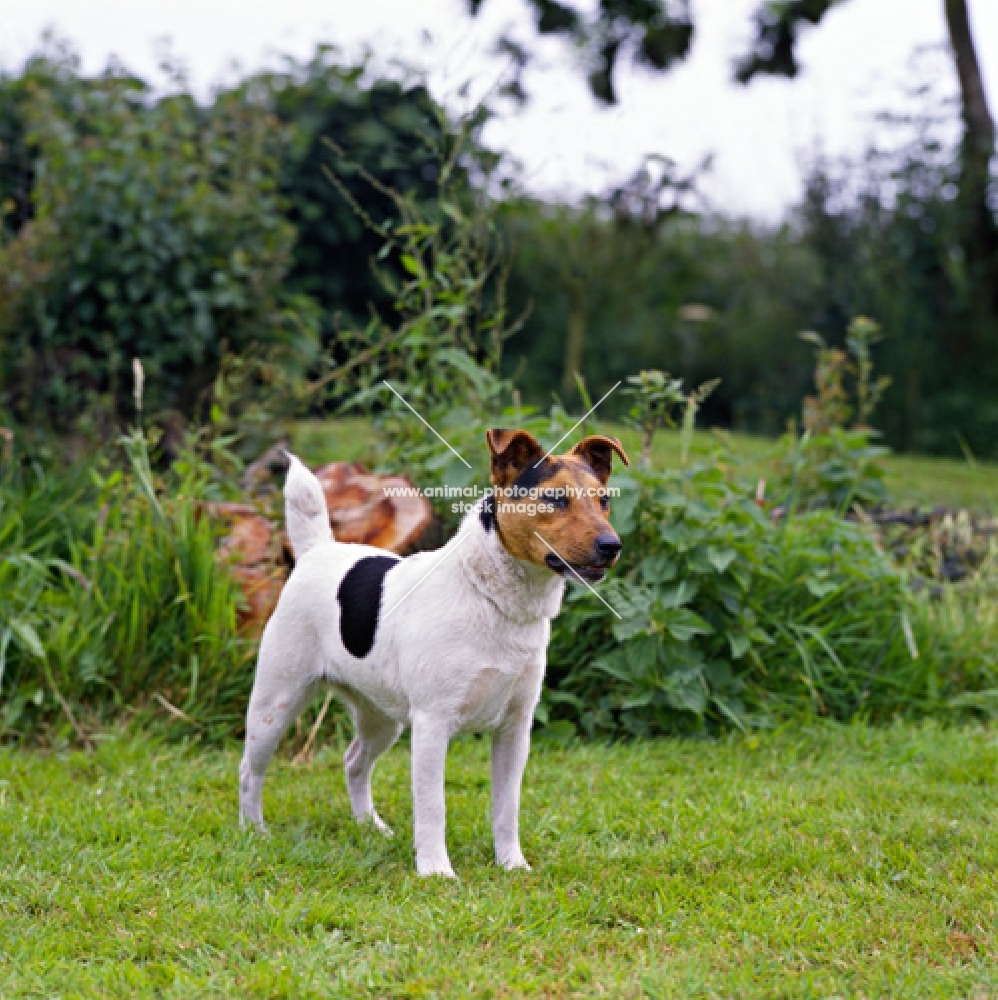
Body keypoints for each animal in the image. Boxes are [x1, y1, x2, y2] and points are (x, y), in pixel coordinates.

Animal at [239, 430, 628, 876]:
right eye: (555, 498)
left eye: (604, 500)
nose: (612, 546)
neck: (494, 599)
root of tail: (317, 552)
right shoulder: (432, 724)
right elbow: (432, 806)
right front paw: (436, 871)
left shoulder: (515, 730)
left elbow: (507, 806)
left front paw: (512, 865)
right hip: (275, 705)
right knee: (250, 770)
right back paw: (254, 831)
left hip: (382, 717)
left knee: (354, 762)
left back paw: (370, 827)